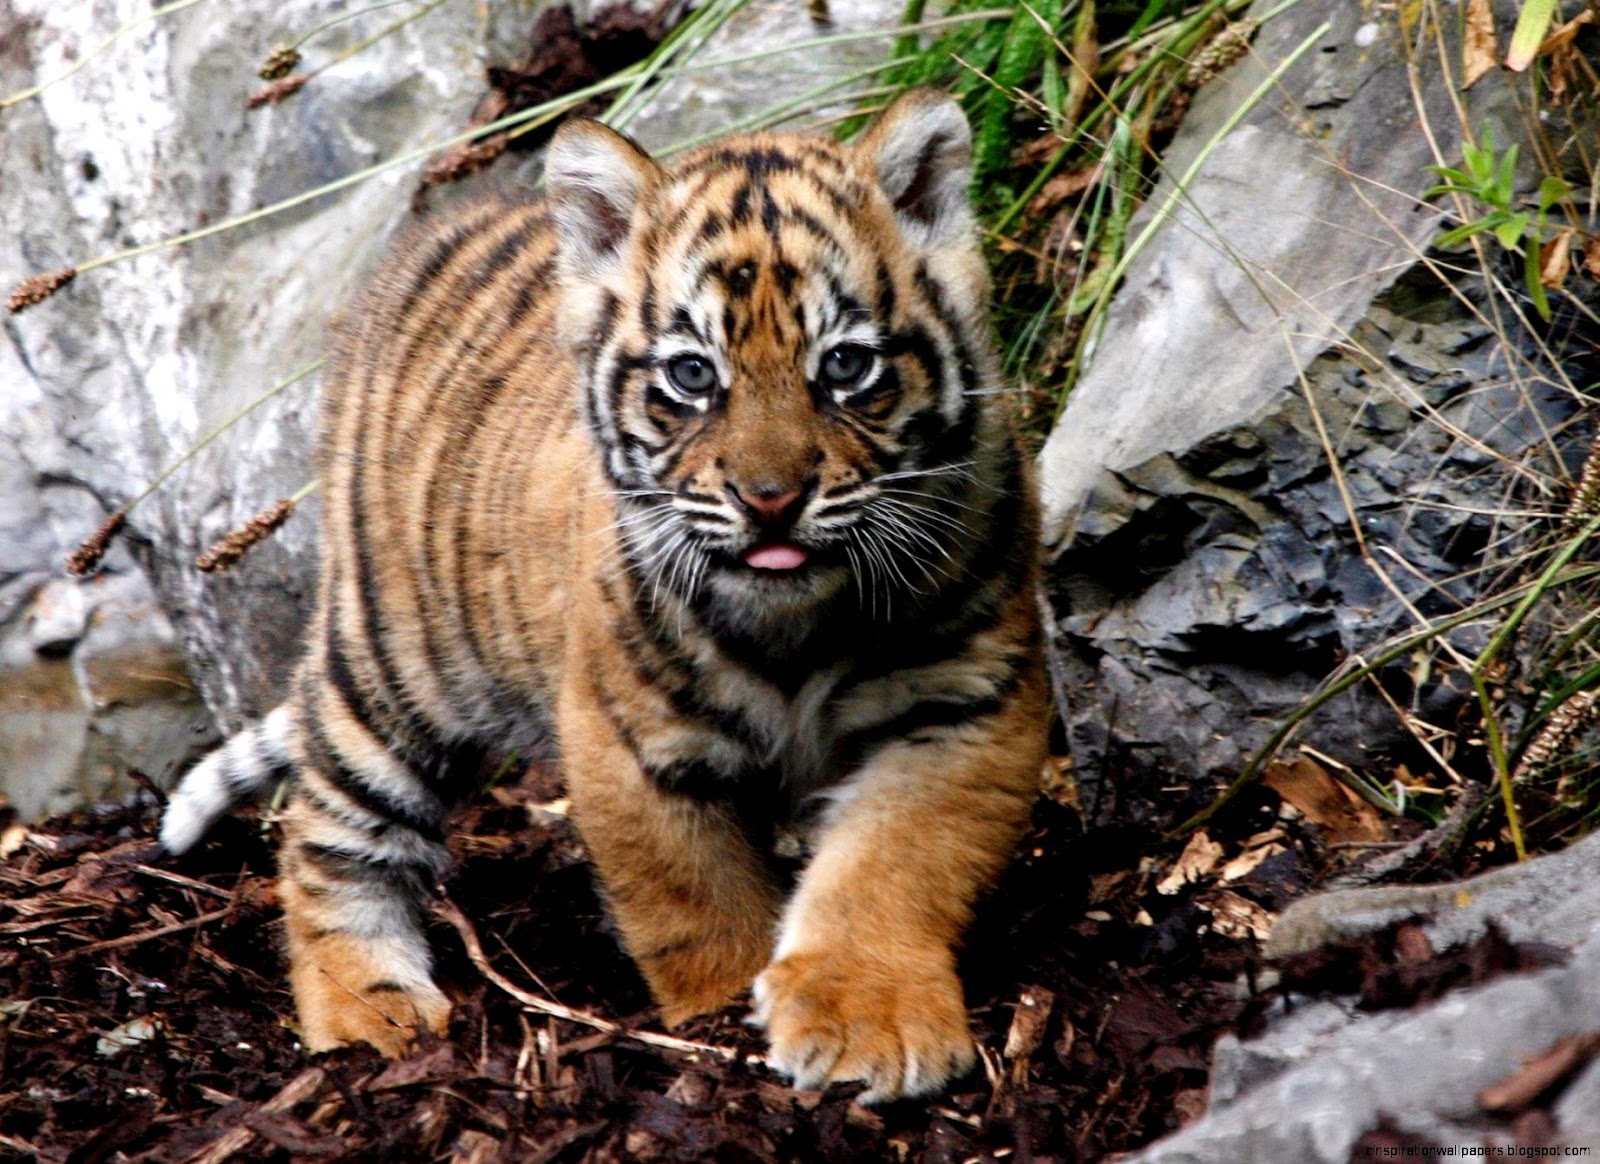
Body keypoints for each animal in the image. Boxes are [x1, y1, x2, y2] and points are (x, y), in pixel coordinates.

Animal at [159, 88, 1048, 1103]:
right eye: (692, 374)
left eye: (847, 366)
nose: (770, 500)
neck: (799, 622)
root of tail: (436, 231)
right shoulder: (630, 739)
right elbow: (692, 900)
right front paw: (718, 1018)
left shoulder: (967, 704)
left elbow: (898, 864)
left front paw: (866, 1017)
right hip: (398, 667)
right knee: (326, 831)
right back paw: (367, 1012)